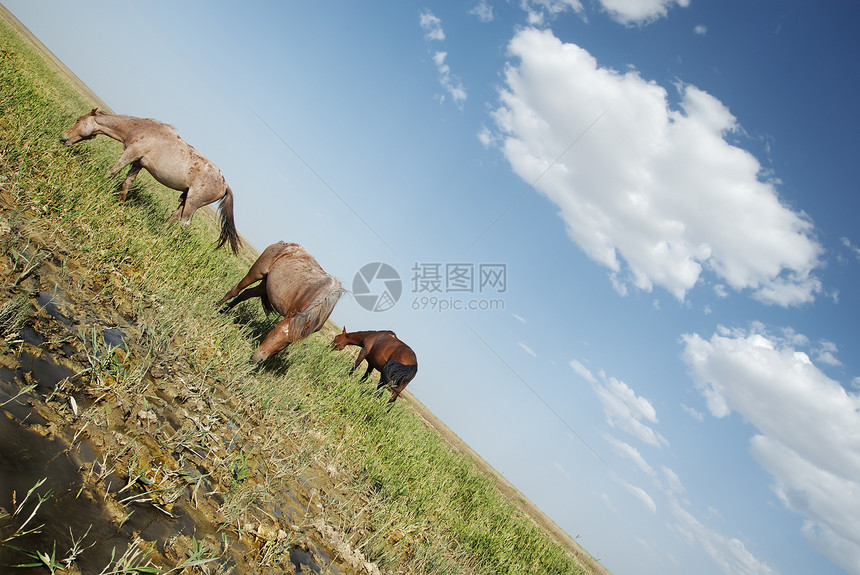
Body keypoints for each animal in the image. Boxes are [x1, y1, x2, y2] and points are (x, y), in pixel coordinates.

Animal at [61, 109, 239, 253]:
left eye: (78, 120)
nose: (63, 138)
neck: (140, 128)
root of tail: (224, 185)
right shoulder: (138, 162)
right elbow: (127, 183)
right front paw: (120, 203)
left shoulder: (131, 153)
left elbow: (112, 171)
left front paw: (97, 184)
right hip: (187, 199)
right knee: (175, 217)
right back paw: (160, 232)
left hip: (193, 203)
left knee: (184, 223)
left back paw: (166, 240)